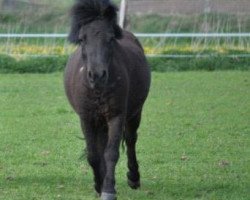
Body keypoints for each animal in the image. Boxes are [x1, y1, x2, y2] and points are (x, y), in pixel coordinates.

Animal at [64, 0, 150, 199]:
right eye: (82, 39)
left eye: (110, 39)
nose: (97, 75)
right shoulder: (87, 118)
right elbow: (94, 155)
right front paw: (99, 185)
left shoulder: (116, 116)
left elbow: (111, 153)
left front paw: (108, 190)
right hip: (100, 121)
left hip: (134, 113)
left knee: (131, 140)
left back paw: (133, 178)